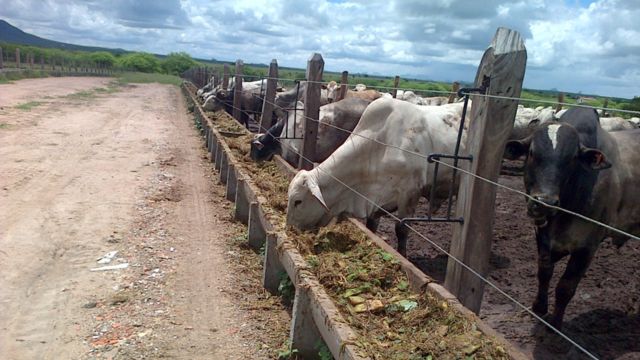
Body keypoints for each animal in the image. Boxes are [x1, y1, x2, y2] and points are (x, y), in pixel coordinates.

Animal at [288, 97, 468, 256]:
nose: (288, 230)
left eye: (298, 201)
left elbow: (401, 230)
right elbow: (371, 225)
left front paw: (403, 255)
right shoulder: (377, 199)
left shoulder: (410, 192)